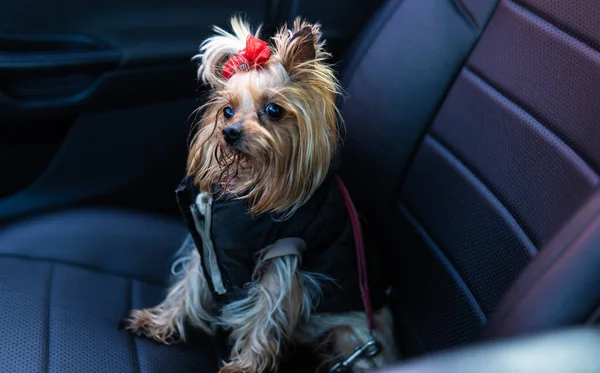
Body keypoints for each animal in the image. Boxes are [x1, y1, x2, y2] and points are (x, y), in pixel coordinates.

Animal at [125, 16, 398, 372]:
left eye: (274, 109)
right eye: (227, 111)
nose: (229, 133)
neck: (253, 179)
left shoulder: (282, 255)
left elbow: (265, 314)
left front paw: (245, 366)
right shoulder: (209, 243)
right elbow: (189, 284)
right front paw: (160, 322)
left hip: (353, 337)